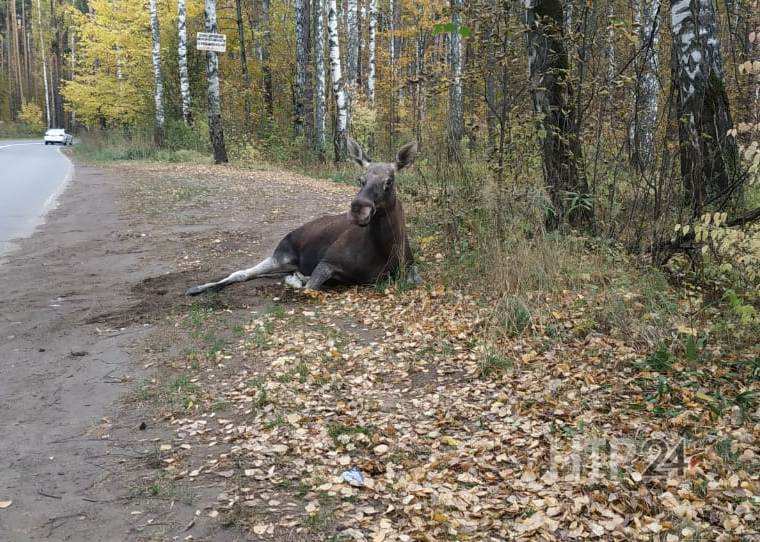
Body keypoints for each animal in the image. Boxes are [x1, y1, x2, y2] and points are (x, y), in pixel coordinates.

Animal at [185, 138, 422, 296]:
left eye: (389, 181)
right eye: (360, 179)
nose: (358, 208)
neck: (385, 250)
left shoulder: (409, 266)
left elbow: (416, 279)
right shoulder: (327, 261)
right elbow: (308, 288)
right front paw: (299, 280)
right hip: (281, 254)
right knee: (242, 272)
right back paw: (195, 288)